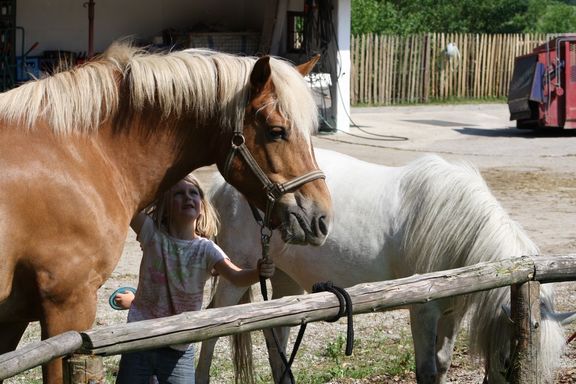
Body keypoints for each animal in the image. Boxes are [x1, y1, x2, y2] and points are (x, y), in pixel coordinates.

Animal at [199, 148, 576, 384]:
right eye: (509, 362)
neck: (453, 220)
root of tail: (223, 185)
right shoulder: (423, 310)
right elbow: (426, 370)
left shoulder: (452, 312)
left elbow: (442, 364)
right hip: (236, 277)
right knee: (213, 329)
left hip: (286, 281)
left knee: (274, 334)